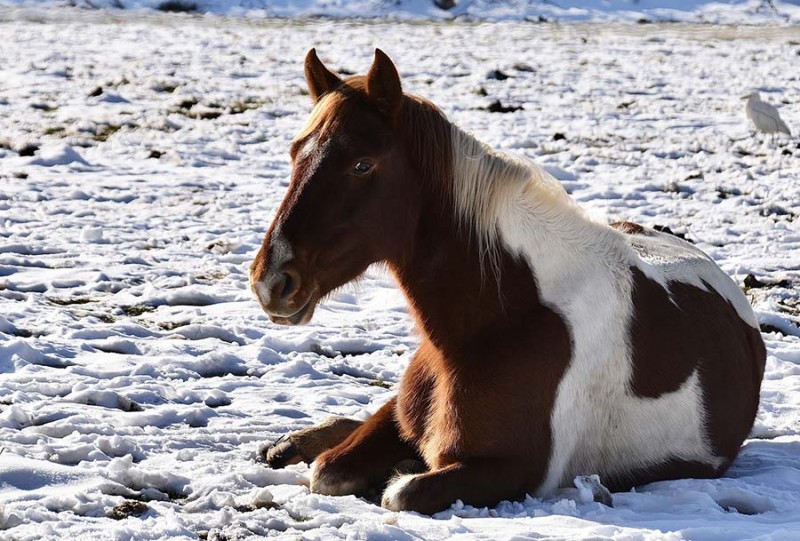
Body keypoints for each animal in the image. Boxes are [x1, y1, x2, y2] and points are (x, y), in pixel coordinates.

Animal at [250, 48, 768, 512]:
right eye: (295, 153)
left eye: (362, 164)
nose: (271, 281)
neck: (501, 319)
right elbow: (331, 469)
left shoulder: (515, 471)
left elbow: (398, 490)